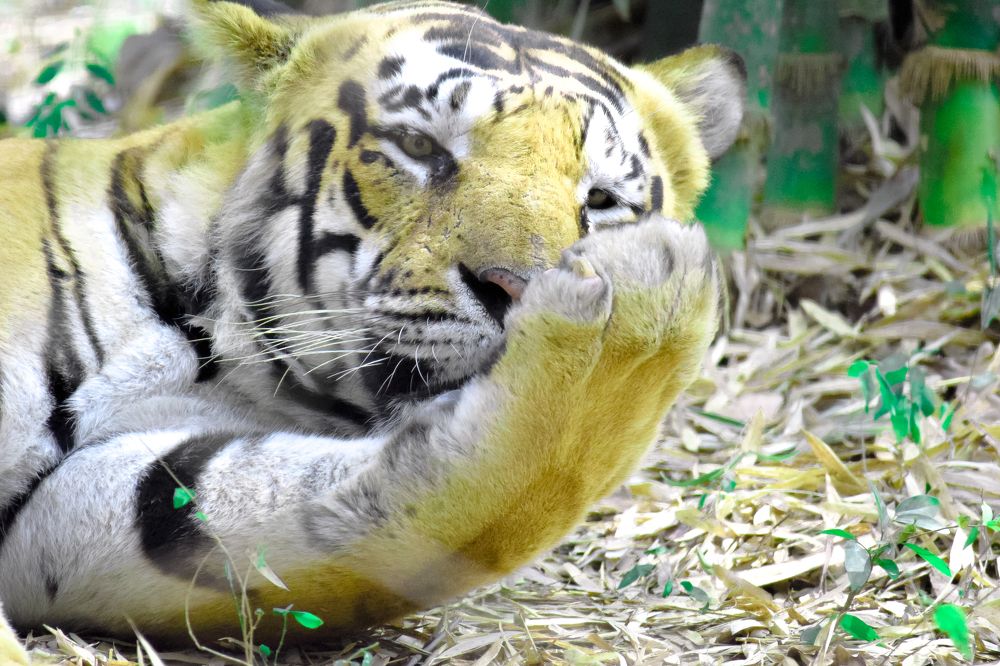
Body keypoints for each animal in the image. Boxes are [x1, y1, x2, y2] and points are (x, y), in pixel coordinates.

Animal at [0, 0, 744, 646]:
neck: (206, 338)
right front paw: (646, 300)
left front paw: (642, 317)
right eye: (418, 145)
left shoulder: (81, 504)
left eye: (603, 198)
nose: (517, 287)